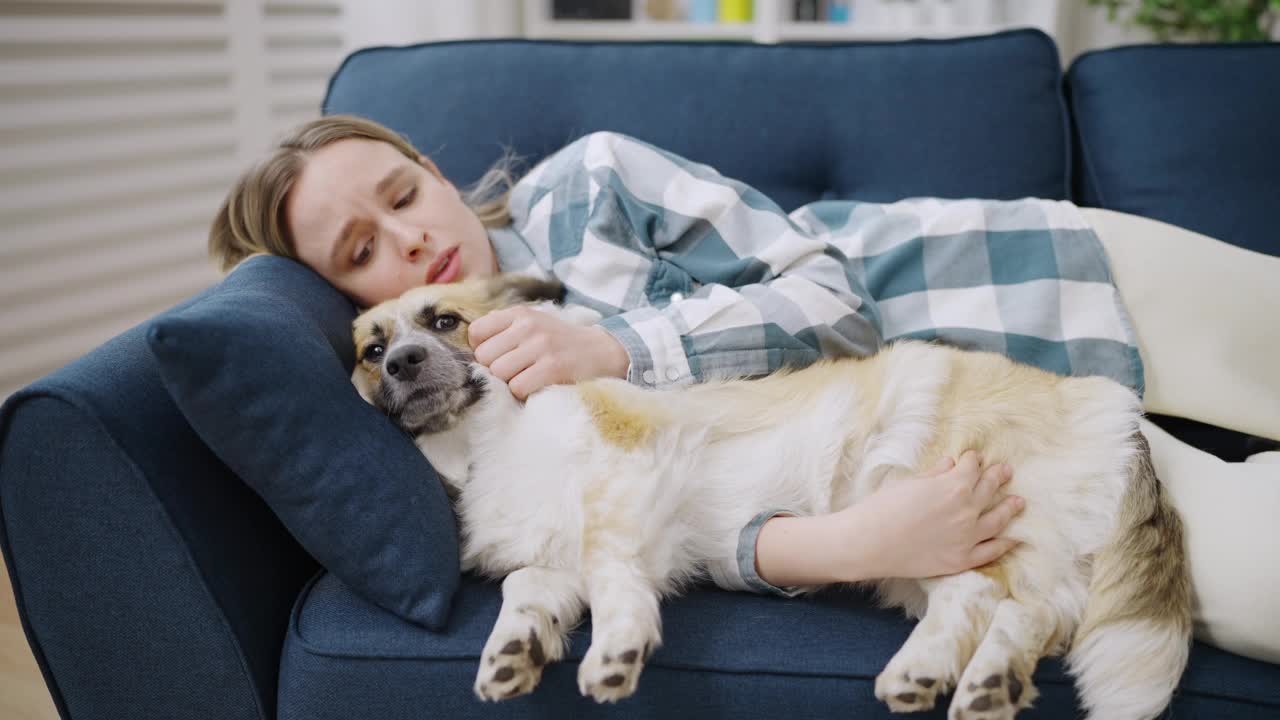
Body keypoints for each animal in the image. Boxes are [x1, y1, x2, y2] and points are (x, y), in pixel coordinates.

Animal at [350, 272, 1187, 712]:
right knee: (1021, 611)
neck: (486, 441)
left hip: (934, 493)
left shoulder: (624, 475)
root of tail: (1119, 416)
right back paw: (977, 680)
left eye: (445, 321)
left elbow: (614, 577)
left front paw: (616, 652)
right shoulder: (554, 554)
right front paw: (513, 651)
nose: (401, 365)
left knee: (991, 597)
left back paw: (940, 673)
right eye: (370, 349)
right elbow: (525, 591)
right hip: (925, 556)